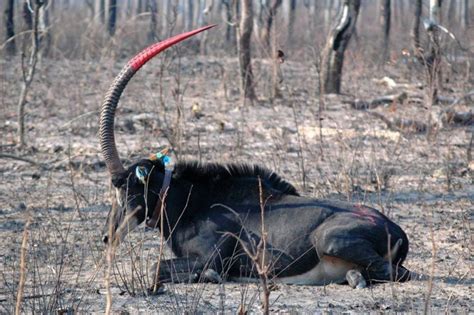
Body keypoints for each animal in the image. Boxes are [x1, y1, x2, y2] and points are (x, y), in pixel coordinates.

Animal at [100, 25, 412, 290]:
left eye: (128, 189)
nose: (107, 236)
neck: (192, 202)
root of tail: (396, 230)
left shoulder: (211, 256)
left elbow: (158, 268)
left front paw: (209, 276)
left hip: (330, 240)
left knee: (399, 273)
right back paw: (353, 276)